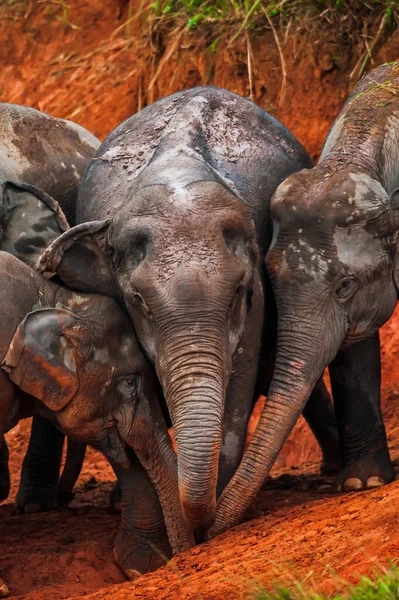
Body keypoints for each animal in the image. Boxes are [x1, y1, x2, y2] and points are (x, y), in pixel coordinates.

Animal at [35, 86, 340, 532]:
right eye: (138, 302)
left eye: (240, 293)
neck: (177, 168)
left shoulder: (257, 303)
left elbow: (239, 388)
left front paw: (214, 520)